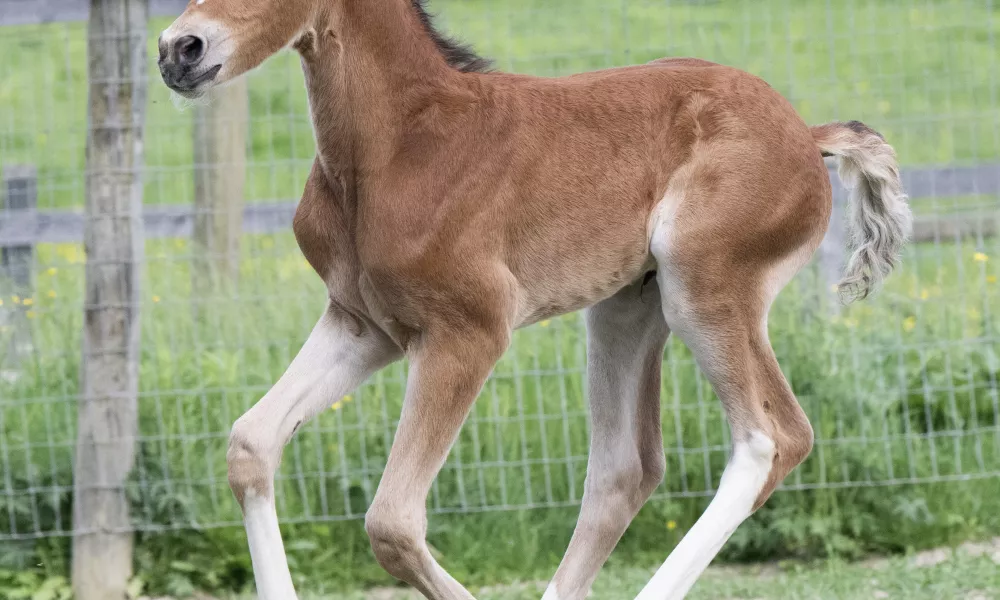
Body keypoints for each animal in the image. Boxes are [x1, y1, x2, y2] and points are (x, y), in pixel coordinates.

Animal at [158, 2, 916, 596]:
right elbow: (251, 443)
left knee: (770, 438)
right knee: (624, 469)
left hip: (707, 289)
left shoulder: (468, 333)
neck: (401, 145)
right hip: (625, 309)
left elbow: (393, 522)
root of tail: (808, 136)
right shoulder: (362, 326)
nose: (178, 49)